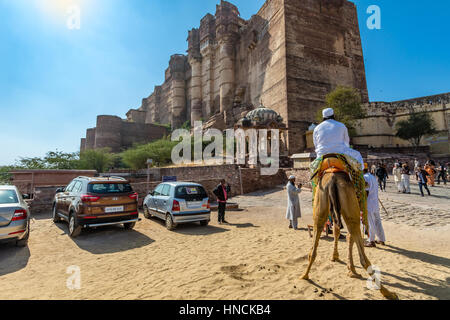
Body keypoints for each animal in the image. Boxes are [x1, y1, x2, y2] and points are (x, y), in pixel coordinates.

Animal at [300, 170, 400, 300]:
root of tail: (332, 180)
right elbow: (349, 237)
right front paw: (351, 270)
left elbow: (338, 231)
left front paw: (336, 258)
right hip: (351, 207)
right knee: (363, 257)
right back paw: (389, 293)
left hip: (320, 204)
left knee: (314, 245)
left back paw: (304, 275)